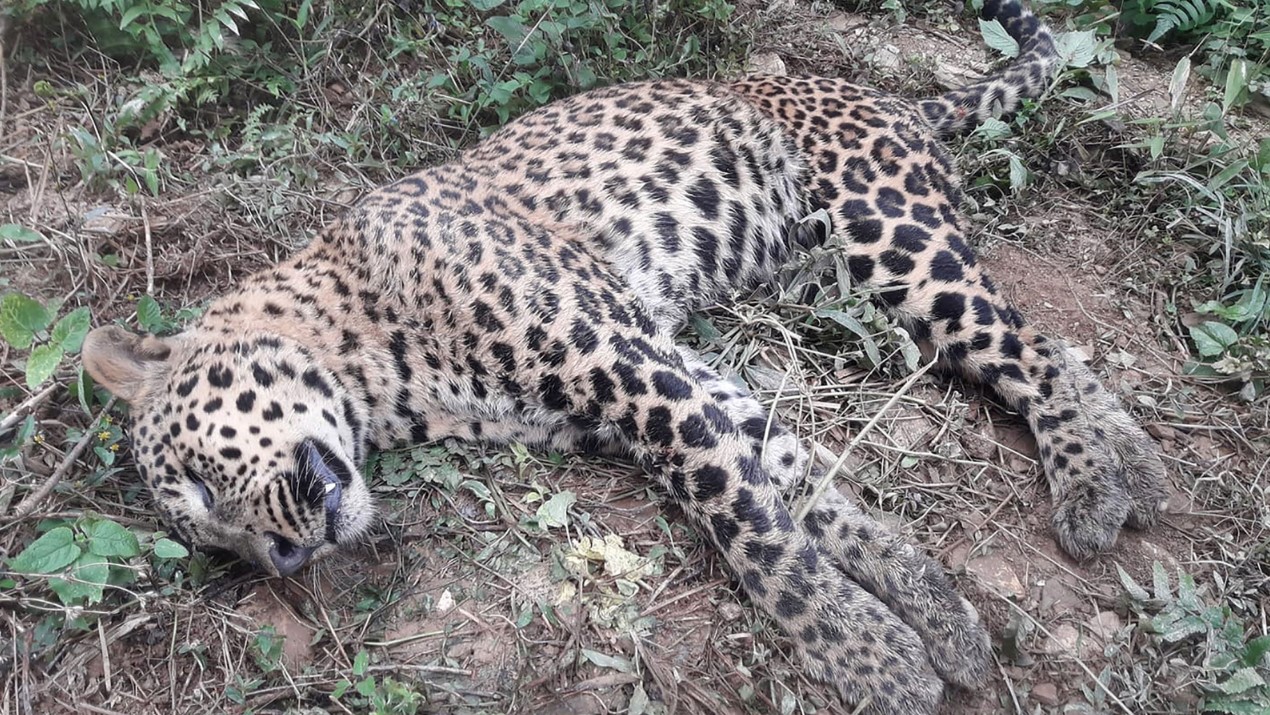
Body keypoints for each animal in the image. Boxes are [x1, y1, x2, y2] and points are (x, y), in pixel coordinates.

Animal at [76, 0, 1168, 711]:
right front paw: (938, 624)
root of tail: (884, 96)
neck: (373, 358)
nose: (286, 557)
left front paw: (871, 661)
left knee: (1029, 346)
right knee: (1038, 343)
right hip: (832, 274)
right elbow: (819, 503)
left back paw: (1096, 486)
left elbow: (762, 545)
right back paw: (1137, 471)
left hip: (894, 242)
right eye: (214, 545)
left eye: (205, 478)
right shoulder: (684, 385)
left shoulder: (648, 382)